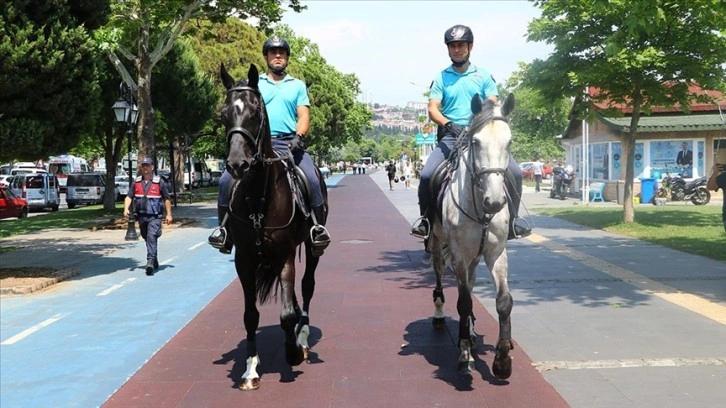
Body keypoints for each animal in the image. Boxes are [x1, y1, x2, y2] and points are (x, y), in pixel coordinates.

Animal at [218, 63, 328, 388]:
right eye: (223, 113)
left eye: (255, 111)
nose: (237, 164)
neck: (259, 195)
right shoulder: (244, 259)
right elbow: (250, 315)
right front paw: (250, 368)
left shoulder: (285, 254)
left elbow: (287, 313)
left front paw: (291, 354)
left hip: (311, 248)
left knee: (306, 287)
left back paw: (302, 337)